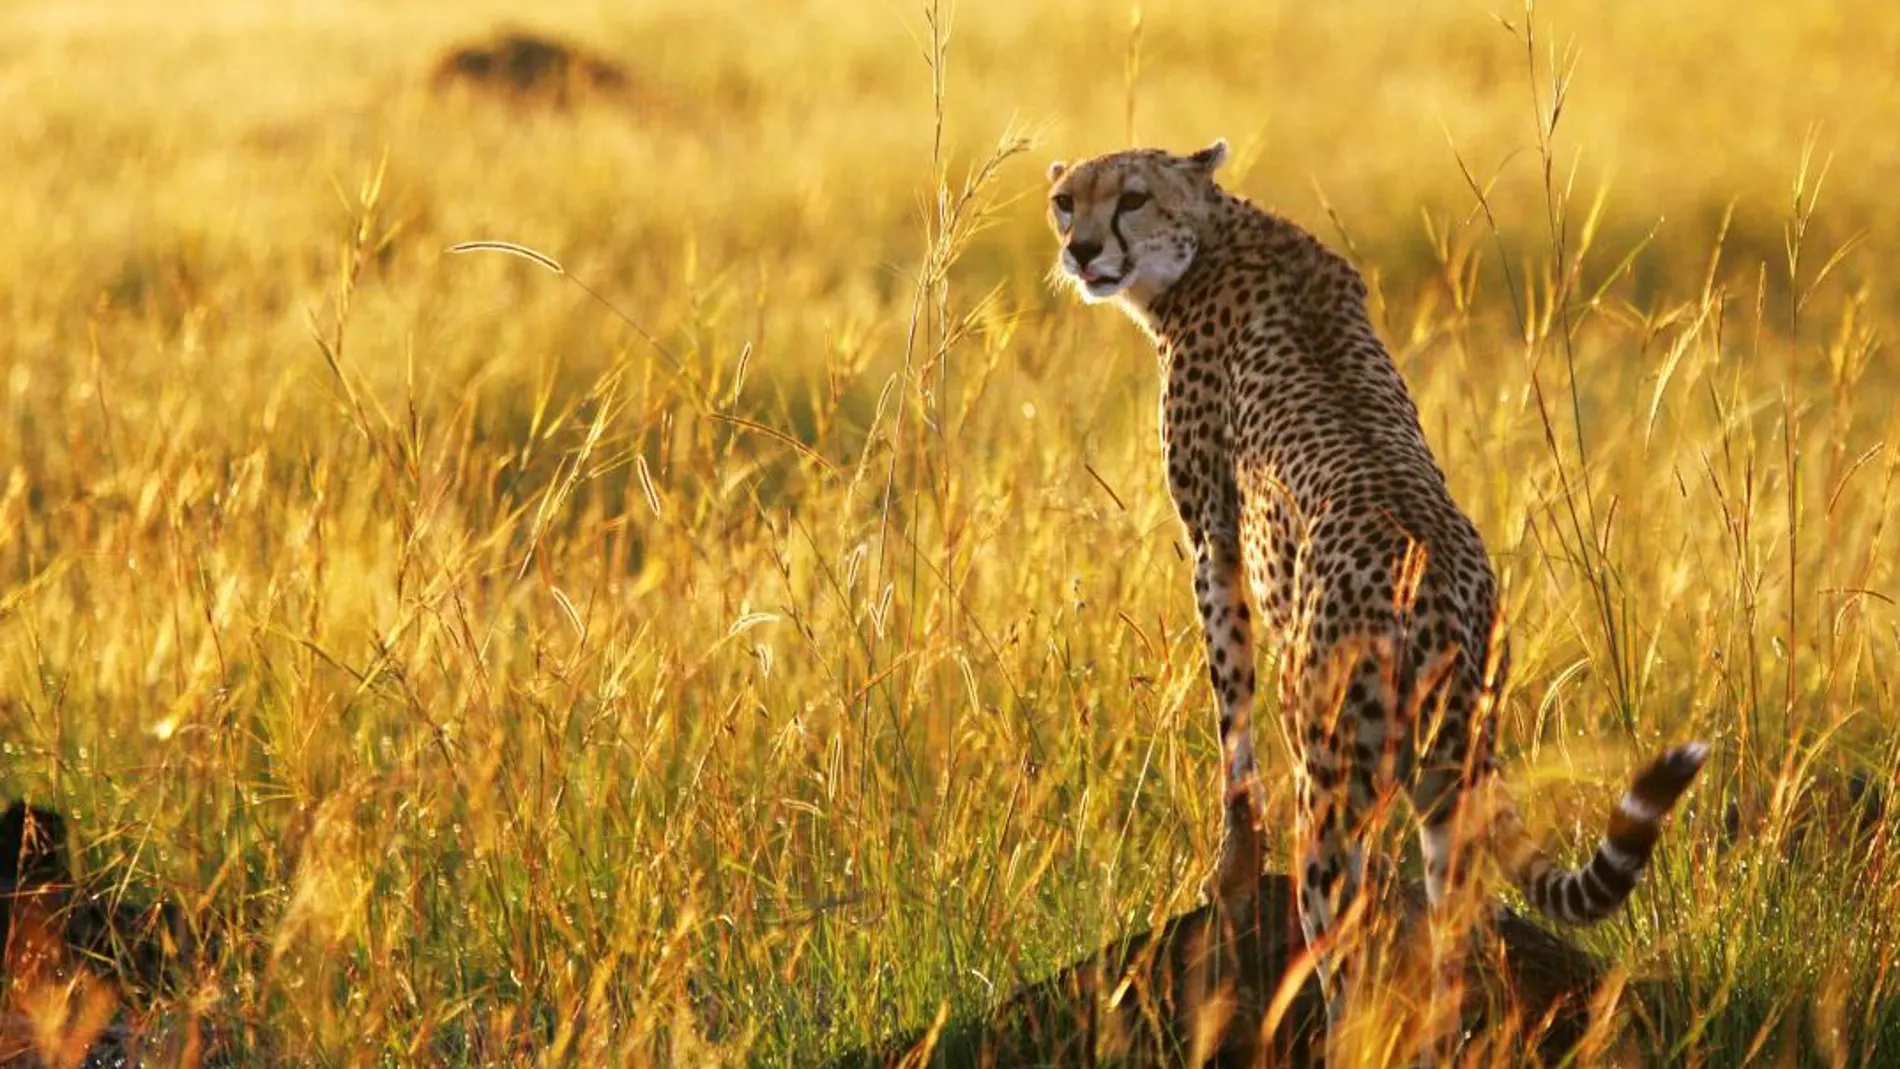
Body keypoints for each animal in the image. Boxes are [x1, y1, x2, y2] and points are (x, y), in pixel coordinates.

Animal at [1048, 142, 1717, 1063]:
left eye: (1134, 197)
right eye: (1064, 200)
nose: (1080, 250)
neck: (1217, 237)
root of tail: (1443, 604)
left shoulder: (1214, 546)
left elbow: (1232, 726)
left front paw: (1230, 864)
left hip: (1334, 792)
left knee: (1347, 956)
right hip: (1448, 790)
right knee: (1457, 944)